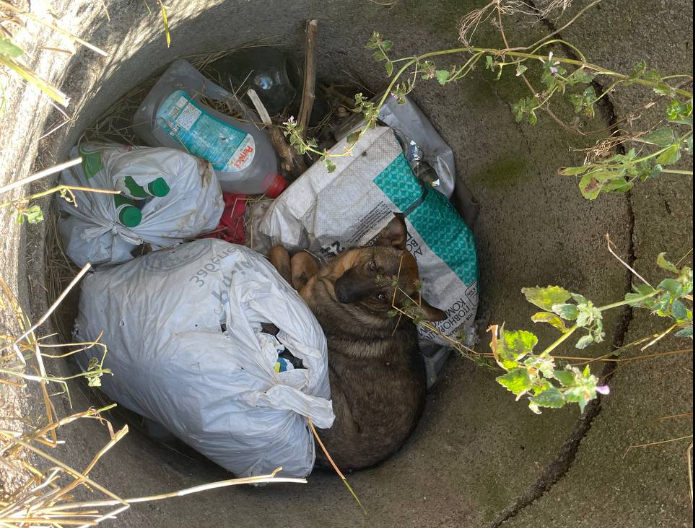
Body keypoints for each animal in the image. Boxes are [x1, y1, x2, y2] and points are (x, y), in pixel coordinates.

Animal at [270, 217, 444, 472]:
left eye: (382, 297)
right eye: (372, 266)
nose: (341, 294)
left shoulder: (303, 298)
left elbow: (289, 259)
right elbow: (303, 258)